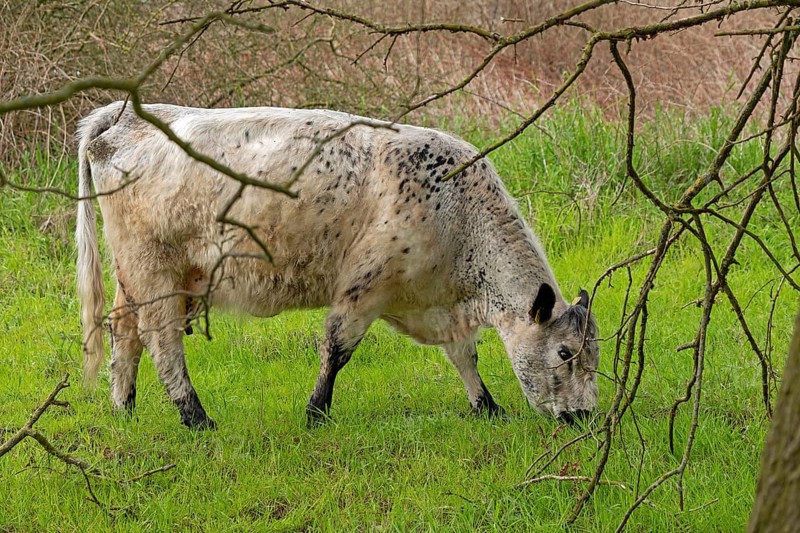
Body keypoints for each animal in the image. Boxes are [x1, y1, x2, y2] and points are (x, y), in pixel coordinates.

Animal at [76, 101, 599, 430]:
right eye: (564, 352)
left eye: (594, 354)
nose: (587, 415)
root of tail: (124, 116)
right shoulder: (364, 287)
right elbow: (337, 351)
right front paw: (316, 412)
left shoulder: (438, 302)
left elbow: (463, 355)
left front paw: (487, 406)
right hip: (154, 269)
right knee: (161, 342)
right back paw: (196, 418)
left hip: (138, 275)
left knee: (124, 330)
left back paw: (124, 408)